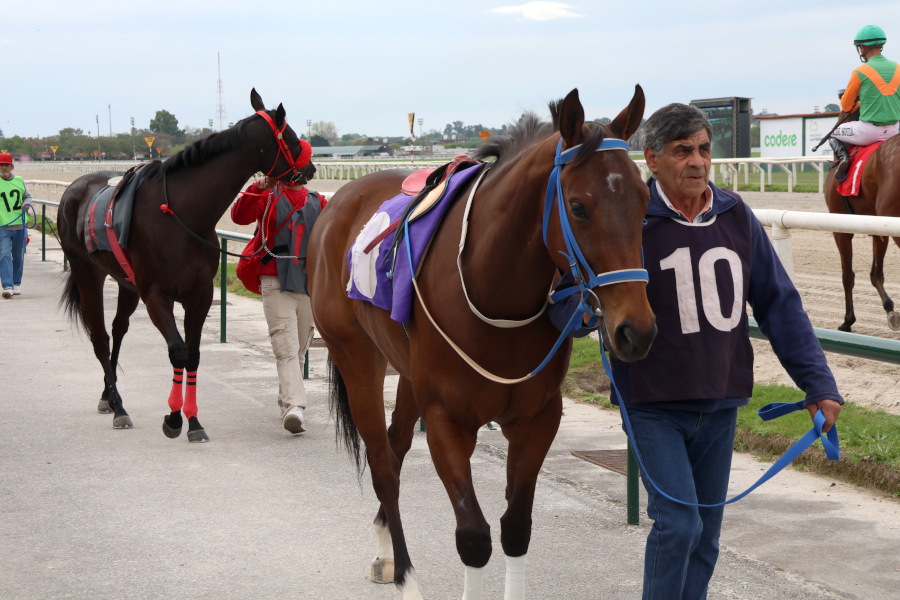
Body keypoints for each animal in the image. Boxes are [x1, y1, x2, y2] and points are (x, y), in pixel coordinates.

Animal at [59, 90, 312, 446]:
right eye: (290, 137)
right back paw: (119, 407)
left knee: (119, 330)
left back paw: (108, 396)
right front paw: (174, 420)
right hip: (87, 274)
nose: (312, 168)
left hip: (126, 283)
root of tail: (75, 188)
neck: (182, 214)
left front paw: (193, 422)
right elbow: (177, 351)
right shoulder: (156, 295)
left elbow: (193, 355)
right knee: (100, 337)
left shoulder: (199, 295)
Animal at [308, 86, 652, 596]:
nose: (637, 330)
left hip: (406, 371)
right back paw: (404, 573)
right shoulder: (447, 420)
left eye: (645, 200)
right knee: (384, 466)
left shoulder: (537, 418)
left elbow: (515, 528)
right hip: (355, 357)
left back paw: (386, 550)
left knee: (395, 446)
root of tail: (340, 201)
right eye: (578, 207)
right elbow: (473, 536)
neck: (495, 291)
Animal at [824, 134, 900, 332]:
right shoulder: (878, 227)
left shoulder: (840, 230)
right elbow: (876, 274)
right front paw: (890, 309)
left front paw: (848, 320)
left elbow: (847, 276)